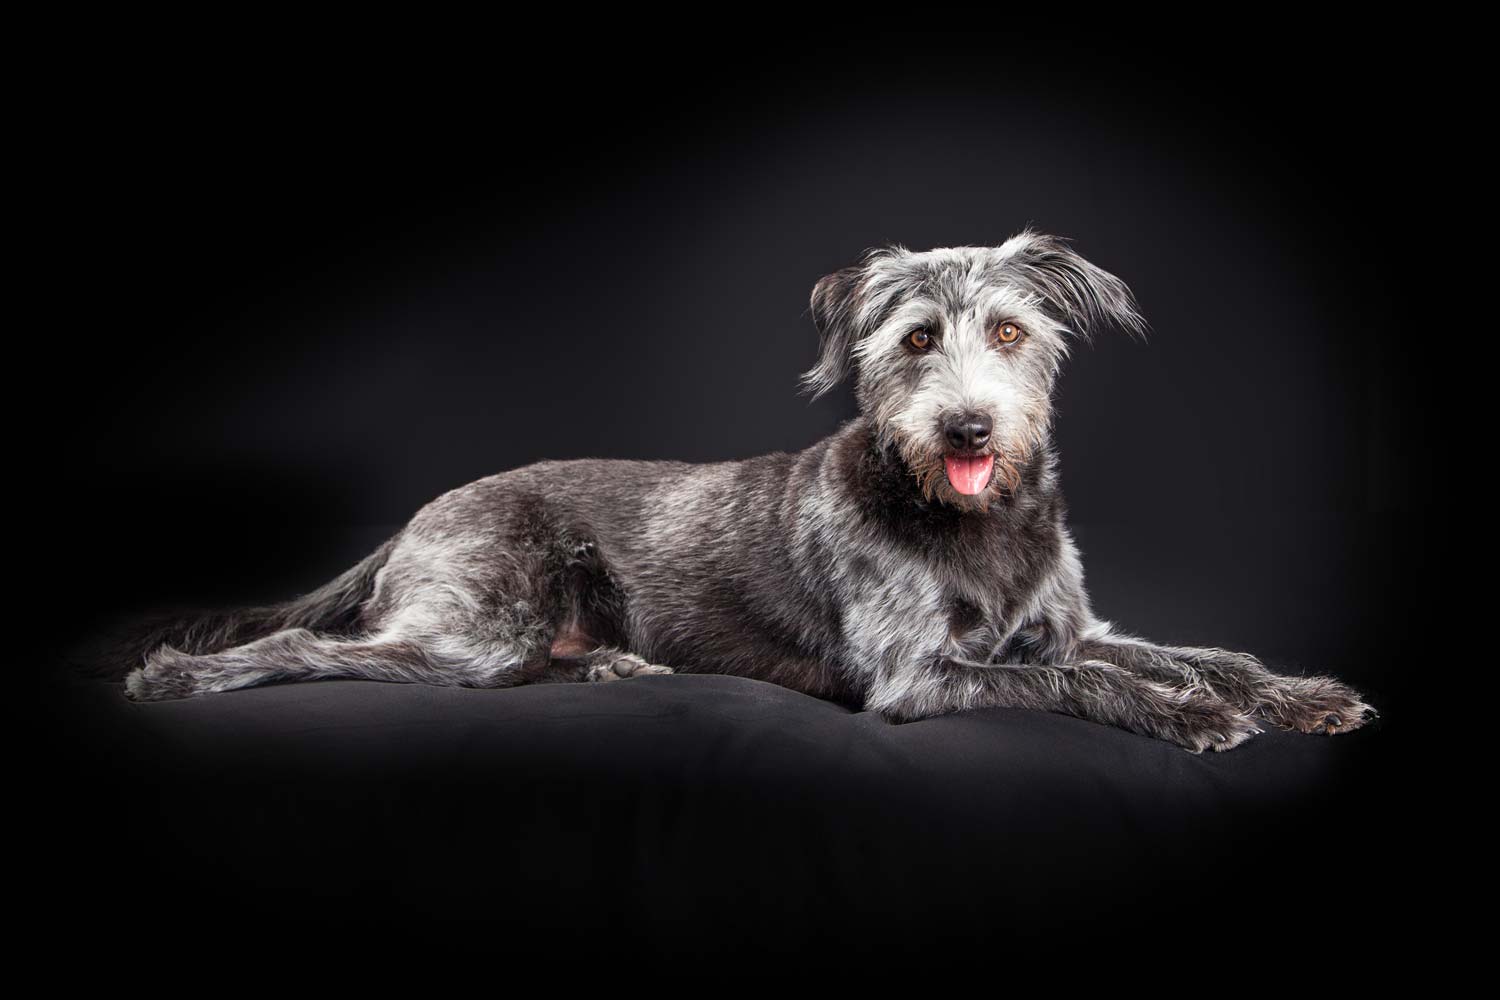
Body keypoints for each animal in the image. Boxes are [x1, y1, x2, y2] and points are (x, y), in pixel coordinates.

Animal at [117, 229, 1374, 749]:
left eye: (1010, 332)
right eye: (918, 340)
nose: (968, 424)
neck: (979, 523)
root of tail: (415, 519)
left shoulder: (1069, 622)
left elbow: (1189, 649)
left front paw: (1297, 692)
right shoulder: (919, 677)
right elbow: (1085, 682)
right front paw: (1192, 716)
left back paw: (612, 663)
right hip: (471, 624)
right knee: (316, 648)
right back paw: (177, 675)